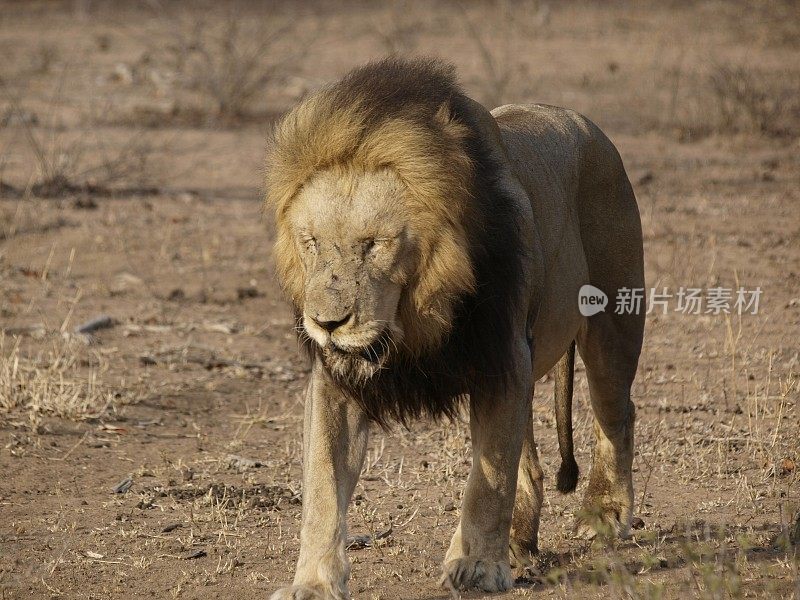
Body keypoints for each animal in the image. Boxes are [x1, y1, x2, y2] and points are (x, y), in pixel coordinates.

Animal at [266, 57, 648, 600]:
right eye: (311, 242)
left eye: (375, 244)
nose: (326, 323)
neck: (412, 324)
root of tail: (584, 122)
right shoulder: (336, 384)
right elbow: (322, 486)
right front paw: (314, 583)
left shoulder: (503, 358)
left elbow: (489, 478)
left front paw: (477, 565)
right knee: (530, 464)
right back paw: (517, 543)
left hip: (612, 324)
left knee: (616, 415)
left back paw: (605, 512)